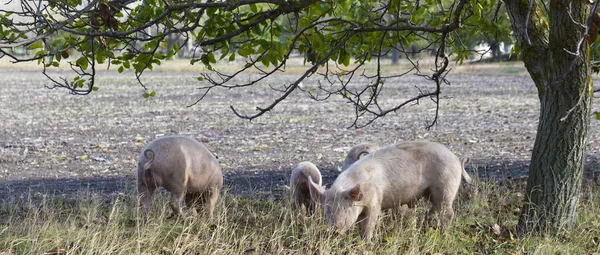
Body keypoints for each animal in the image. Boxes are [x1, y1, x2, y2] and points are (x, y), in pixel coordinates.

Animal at [310, 141, 474, 241]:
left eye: (345, 209)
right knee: (435, 208)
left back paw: (443, 233)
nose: (335, 231)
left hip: (445, 186)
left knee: (448, 211)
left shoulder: (375, 202)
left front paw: (367, 242)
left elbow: (369, 224)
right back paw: (425, 223)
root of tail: (456, 158)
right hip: (431, 192)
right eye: (327, 210)